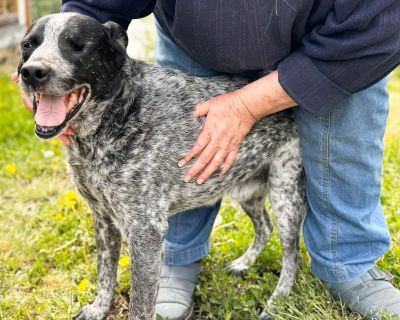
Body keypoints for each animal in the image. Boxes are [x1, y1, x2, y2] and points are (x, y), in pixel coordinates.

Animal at [17, 12, 308, 320]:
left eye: (77, 46)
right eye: (28, 45)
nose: (32, 72)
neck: (120, 114)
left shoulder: (146, 231)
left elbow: (140, 305)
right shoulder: (103, 218)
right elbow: (105, 273)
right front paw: (99, 308)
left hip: (286, 195)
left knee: (292, 258)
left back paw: (276, 303)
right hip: (247, 189)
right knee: (264, 226)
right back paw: (244, 263)